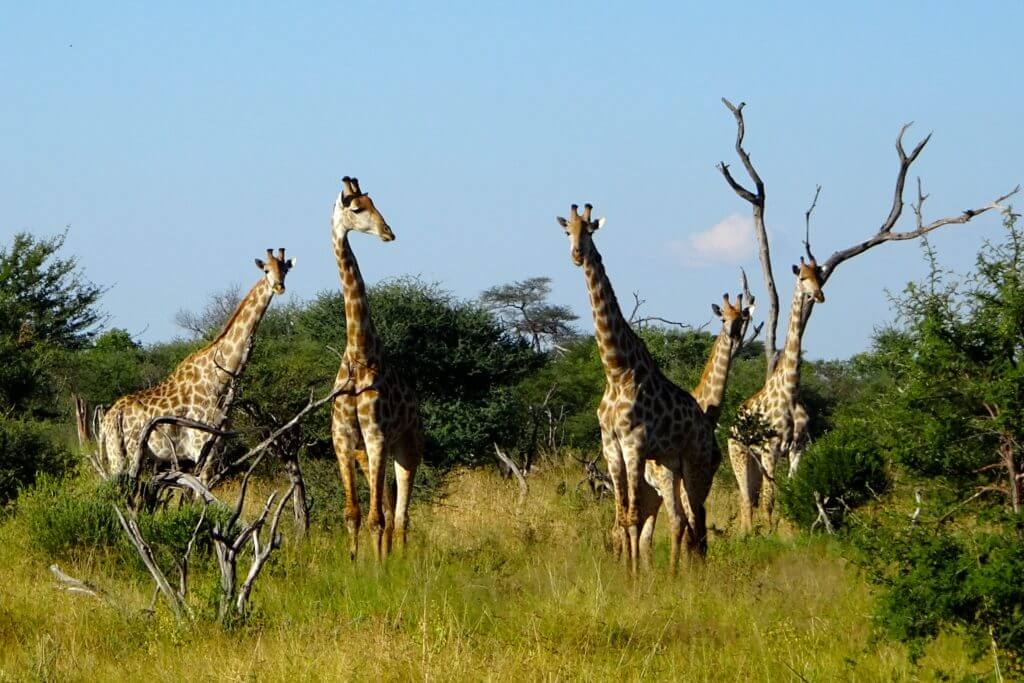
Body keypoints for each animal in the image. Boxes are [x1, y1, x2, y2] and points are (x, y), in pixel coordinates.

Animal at [98, 248, 296, 479]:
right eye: (266, 270)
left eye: (285, 269)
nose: (279, 287)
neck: (219, 379)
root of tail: (106, 420)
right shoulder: (202, 447)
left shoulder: (217, 448)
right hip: (121, 452)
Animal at [557, 202, 716, 573]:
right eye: (567, 230)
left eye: (590, 231)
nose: (577, 254)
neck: (617, 370)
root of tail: (707, 425)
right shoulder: (611, 446)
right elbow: (623, 517)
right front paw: (628, 576)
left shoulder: (634, 444)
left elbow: (631, 516)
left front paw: (633, 578)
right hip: (669, 465)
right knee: (682, 519)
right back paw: (676, 574)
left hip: (696, 463)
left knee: (697, 518)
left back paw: (693, 574)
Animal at [729, 255, 823, 532]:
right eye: (802, 277)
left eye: (819, 276)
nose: (818, 295)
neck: (790, 390)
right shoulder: (771, 449)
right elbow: (769, 499)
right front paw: (770, 535)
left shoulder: (797, 448)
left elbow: (789, 491)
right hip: (739, 453)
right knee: (746, 499)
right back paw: (747, 535)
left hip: (755, 461)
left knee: (750, 497)